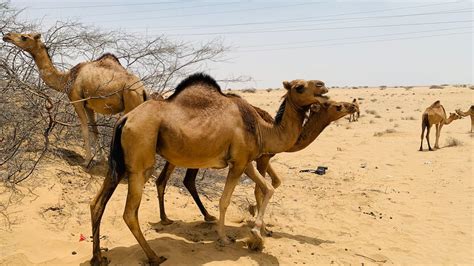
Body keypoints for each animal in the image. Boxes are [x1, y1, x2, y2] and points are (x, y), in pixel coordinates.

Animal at [2, 32, 146, 163]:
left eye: (24, 37)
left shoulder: (77, 100)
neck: (67, 78)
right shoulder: (89, 105)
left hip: (131, 101)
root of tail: (143, 91)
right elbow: (95, 129)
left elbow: (84, 128)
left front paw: (87, 161)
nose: (6, 36)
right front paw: (102, 159)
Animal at [89, 73, 328, 266]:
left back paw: (98, 257)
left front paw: (257, 236)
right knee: (130, 212)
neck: (261, 128)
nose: (323, 86)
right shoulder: (238, 162)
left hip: (118, 163)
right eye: (299, 87)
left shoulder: (246, 161)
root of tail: (125, 119)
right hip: (141, 159)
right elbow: (225, 200)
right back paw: (154, 256)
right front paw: (228, 238)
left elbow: (267, 188)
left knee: (96, 203)